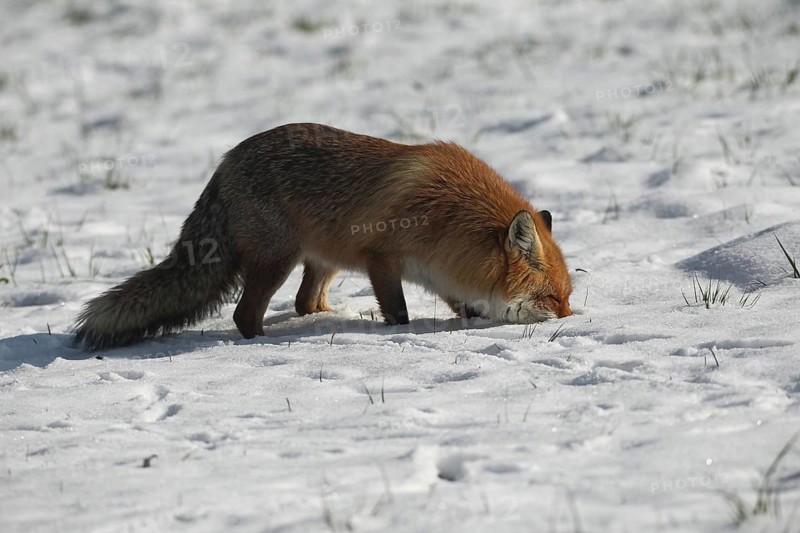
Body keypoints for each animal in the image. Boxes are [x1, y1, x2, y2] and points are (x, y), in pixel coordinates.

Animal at [74, 123, 572, 350]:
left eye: (568, 297)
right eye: (551, 297)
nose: (573, 321)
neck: (448, 215)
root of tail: (226, 161)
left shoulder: (442, 272)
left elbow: (462, 302)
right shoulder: (381, 258)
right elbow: (399, 314)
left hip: (324, 260)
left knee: (303, 303)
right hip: (278, 259)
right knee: (244, 314)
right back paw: (262, 344)